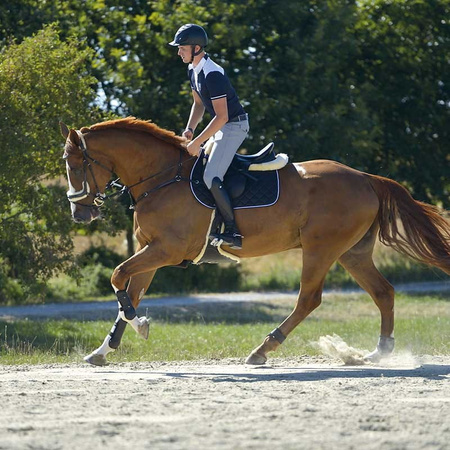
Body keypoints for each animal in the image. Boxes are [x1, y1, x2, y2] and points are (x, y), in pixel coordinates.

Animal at [60, 117, 450, 366]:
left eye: (75, 165)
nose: (79, 215)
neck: (160, 177)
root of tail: (366, 178)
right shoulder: (150, 251)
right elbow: (128, 292)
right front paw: (104, 350)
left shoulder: (165, 250)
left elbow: (117, 277)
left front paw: (139, 324)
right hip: (352, 253)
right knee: (383, 292)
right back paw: (379, 352)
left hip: (321, 249)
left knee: (309, 299)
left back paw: (262, 350)